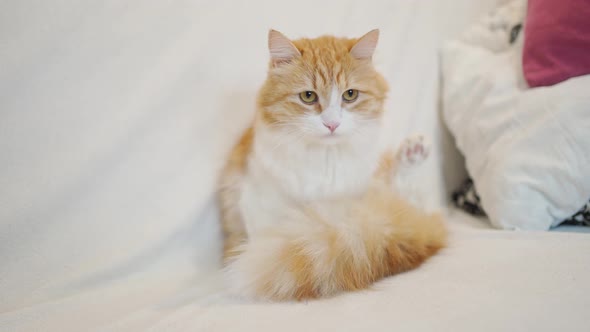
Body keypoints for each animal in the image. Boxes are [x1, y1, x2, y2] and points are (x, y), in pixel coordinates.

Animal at [219, 29, 448, 300]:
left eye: (350, 95)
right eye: (308, 96)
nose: (332, 124)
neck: (325, 160)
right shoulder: (257, 202)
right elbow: (261, 241)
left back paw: (413, 153)